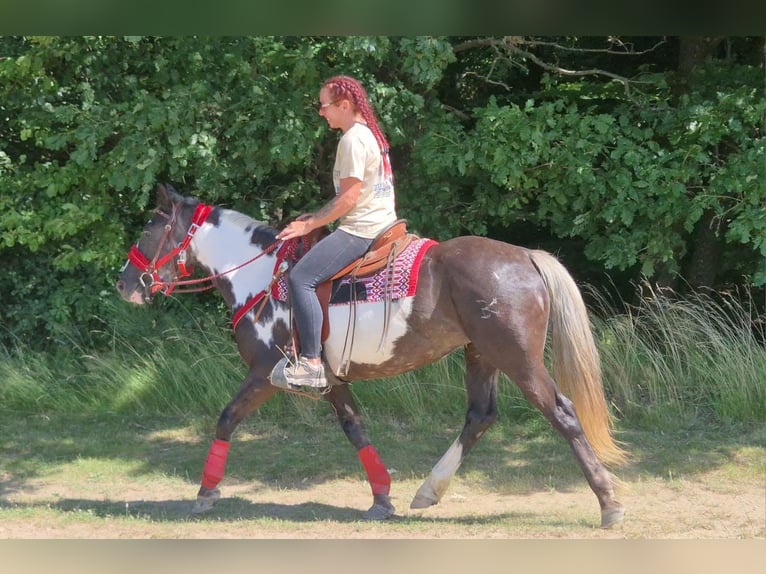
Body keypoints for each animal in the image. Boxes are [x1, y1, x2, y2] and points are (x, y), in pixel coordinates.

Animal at [116, 183, 627, 528]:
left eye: (150, 227)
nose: (125, 283)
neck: (260, 278)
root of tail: (525, 256)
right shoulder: (330, 380)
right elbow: (355, 428)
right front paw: (382, 497)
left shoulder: (264, 373)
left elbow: (226, 418)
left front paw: (206, 491)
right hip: (481, 355)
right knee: (480, 416)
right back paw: (428, 491)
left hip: (517, 359)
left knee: (562, 412)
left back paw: (609, 503)